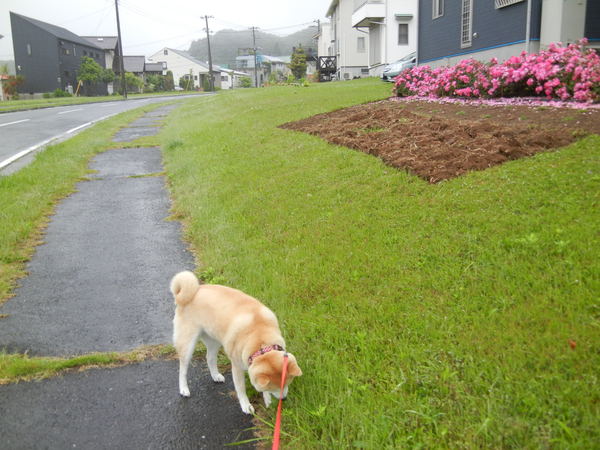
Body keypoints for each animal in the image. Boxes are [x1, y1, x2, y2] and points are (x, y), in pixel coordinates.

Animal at [170, 270, 302, 414]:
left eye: (287, 383)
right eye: (274, 388)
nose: (284, 399)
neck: (260, 337)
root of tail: (195, 291)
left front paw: (267, 399)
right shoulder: (237, 367)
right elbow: (241, 389)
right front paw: (246, 405)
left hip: (214, 340)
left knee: (210, 358)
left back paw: (215, 375)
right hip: (187, 344)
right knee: (183, 368)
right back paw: (184, 389)